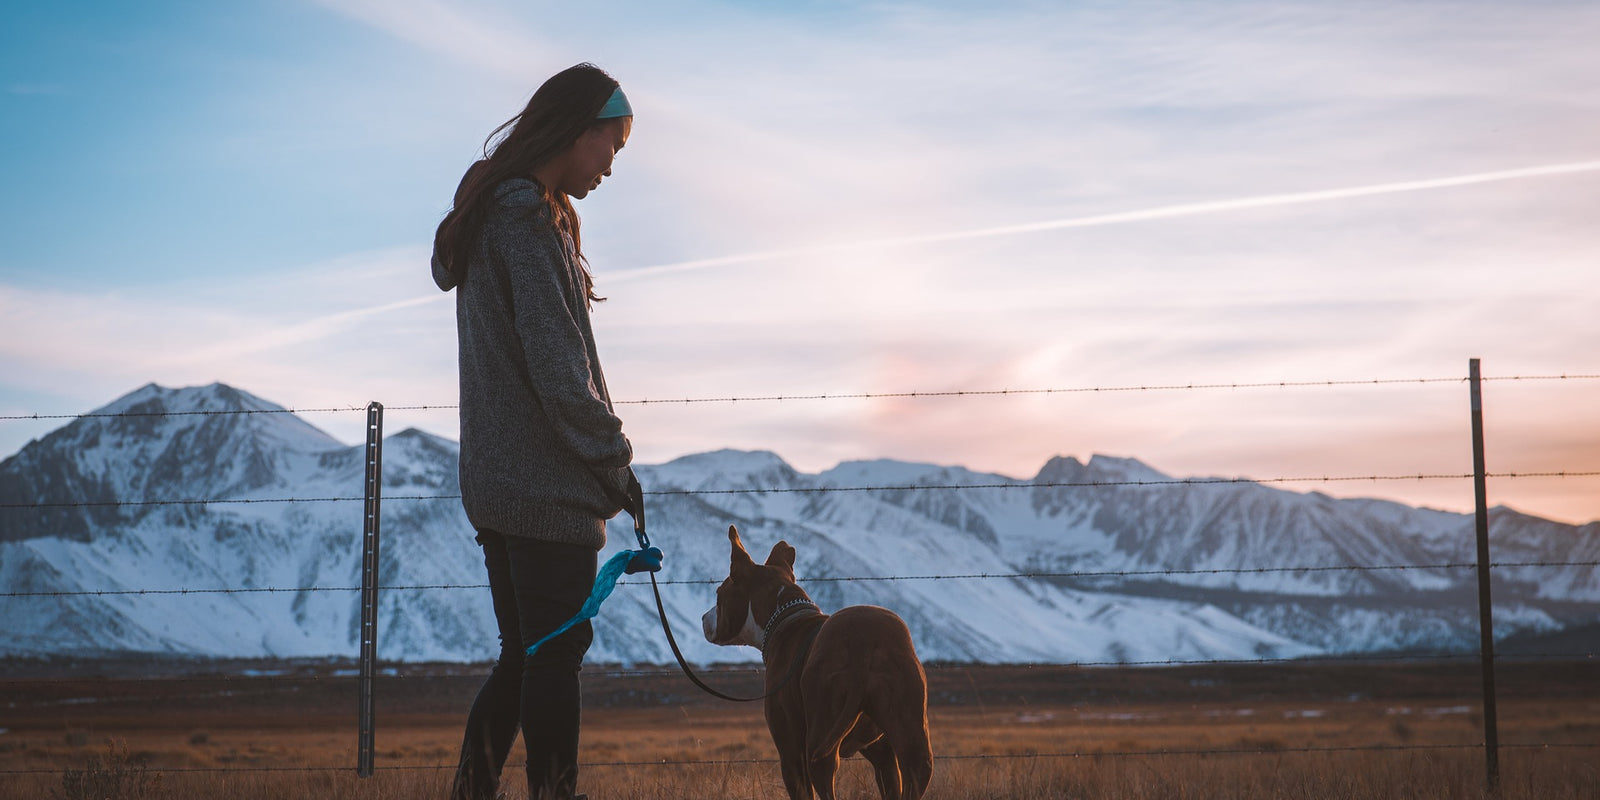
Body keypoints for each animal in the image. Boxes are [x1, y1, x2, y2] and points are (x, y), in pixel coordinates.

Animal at [704, 524, 934, 800]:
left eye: (719, 593)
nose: (703, 618)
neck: (783, 616)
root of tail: (862, 643)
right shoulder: (882, 754)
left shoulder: (791, 751)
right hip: (910, 735)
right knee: (917, 767)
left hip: (819, 740)